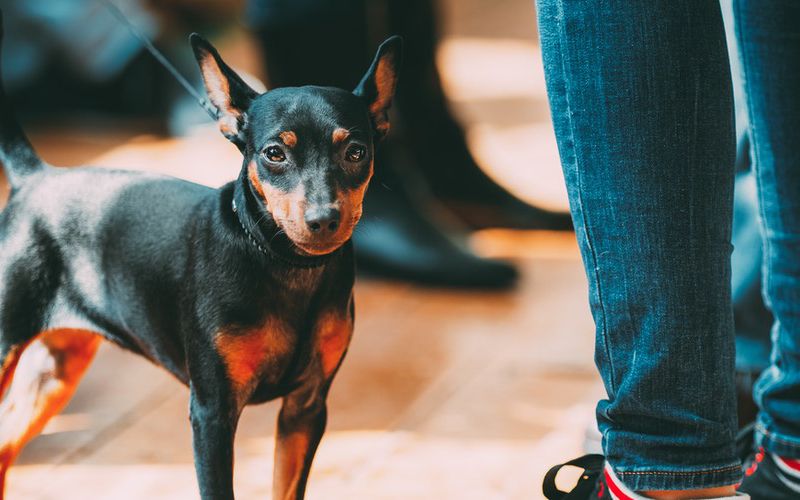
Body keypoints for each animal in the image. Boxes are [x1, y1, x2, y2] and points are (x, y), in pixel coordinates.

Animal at [0, 13, 400, 498]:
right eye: (274, 153)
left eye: (356, 152)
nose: (324, 218)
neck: (282, 264)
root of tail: (34, 177)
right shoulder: (212, 413)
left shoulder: (305, 408)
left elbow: (288, 487)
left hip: (56, 368)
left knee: (4, 448)